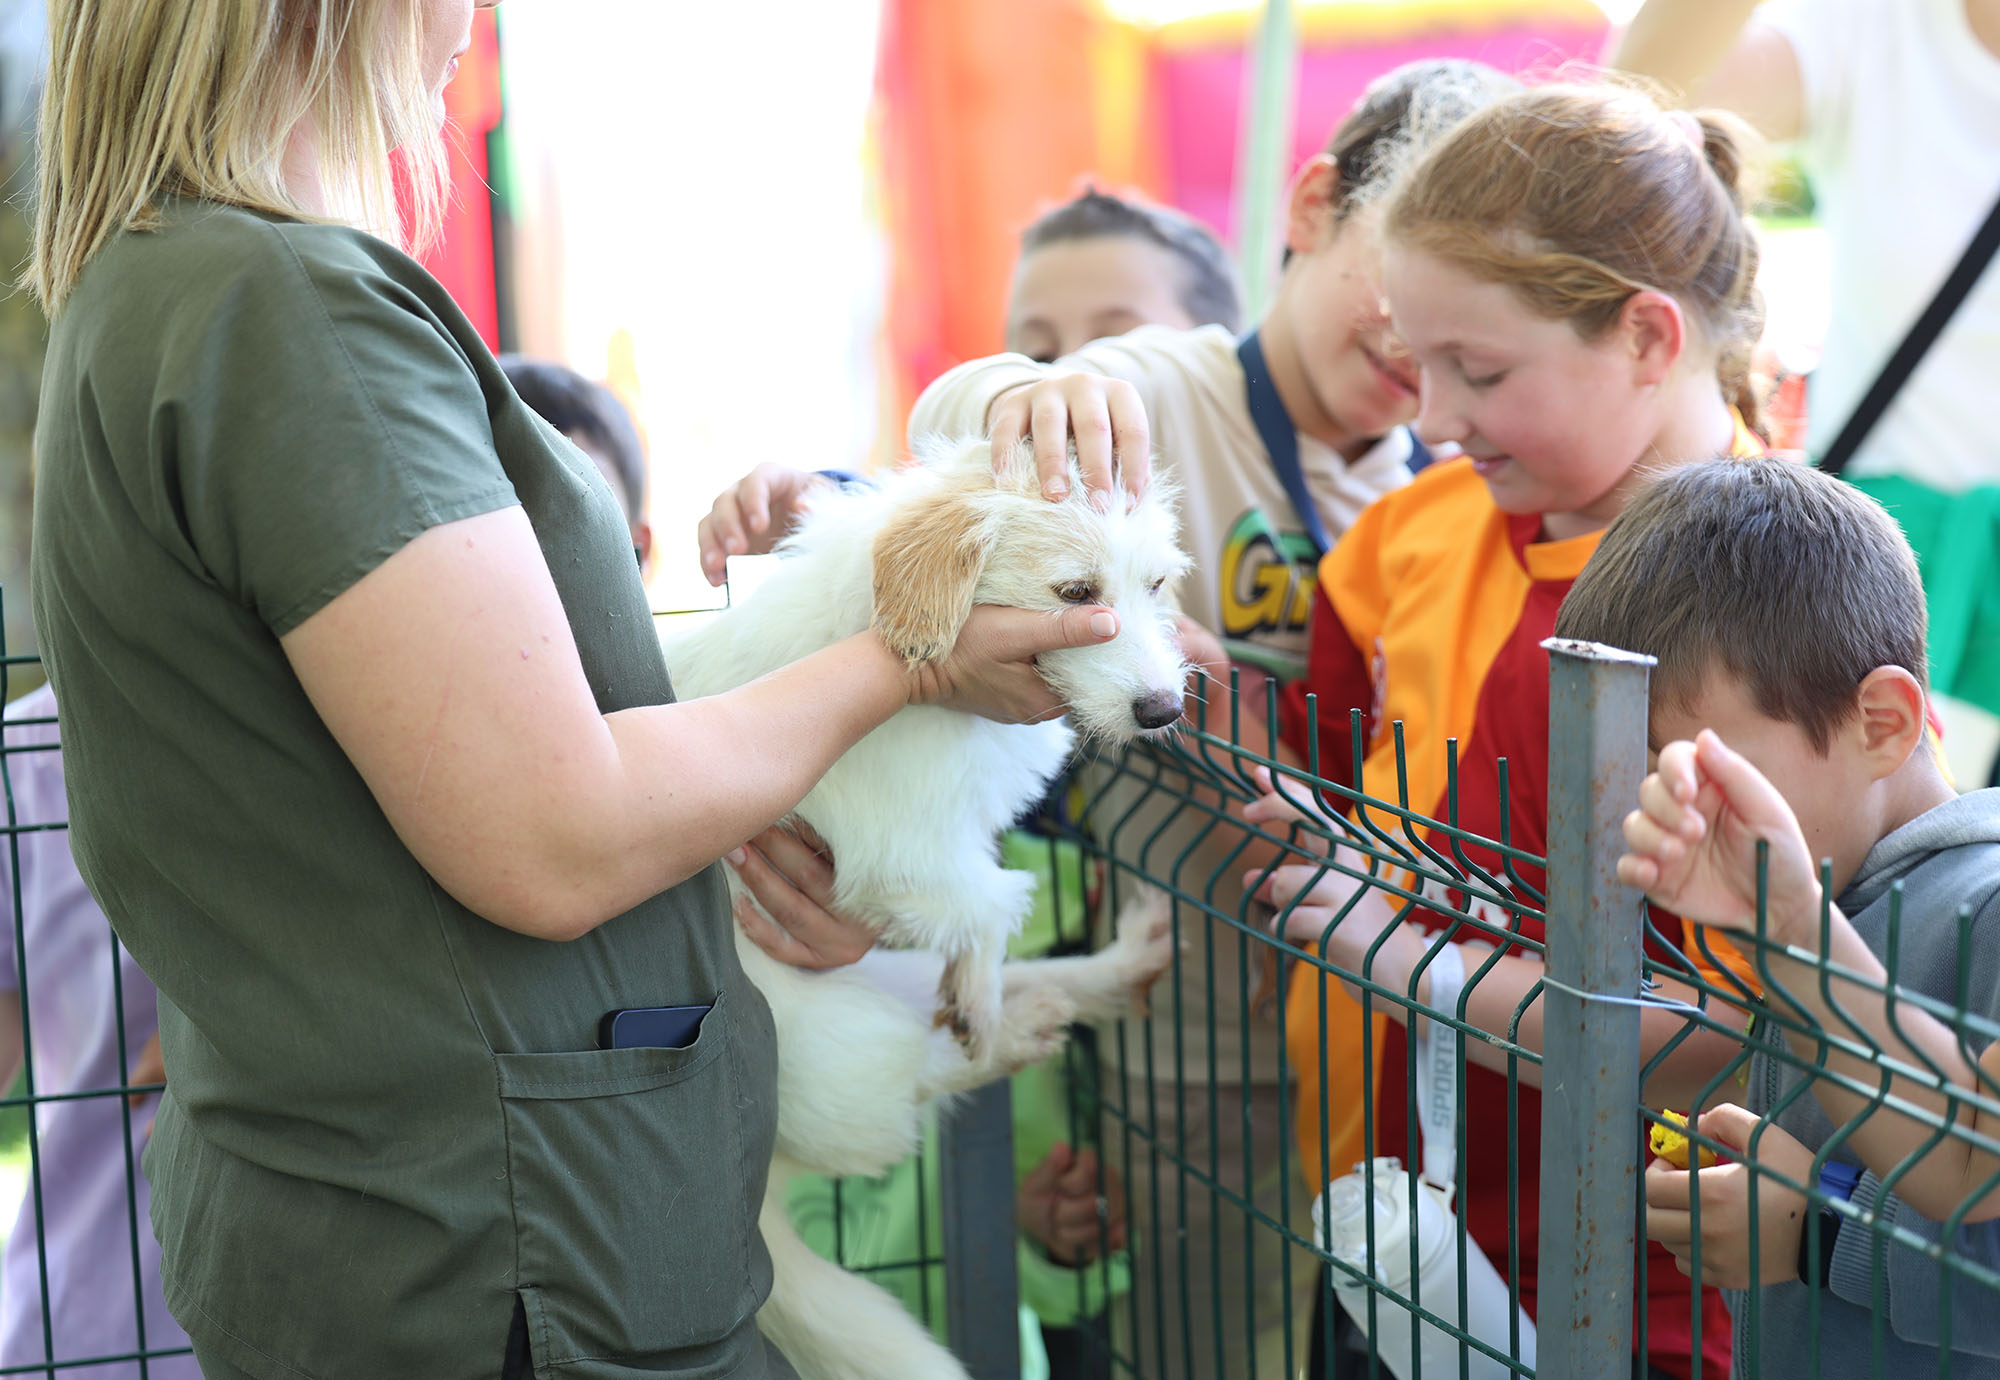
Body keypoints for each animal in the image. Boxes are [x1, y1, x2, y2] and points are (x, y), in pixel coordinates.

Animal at [664, 436, 1184, 1376]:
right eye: (1076, 595)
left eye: (1157, 584)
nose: (1163, 711)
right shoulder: (898, 859)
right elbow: (993, 906)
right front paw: (979, 997)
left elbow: (989, 917)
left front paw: (987, 989)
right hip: (828, 1050)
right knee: (915, 1084)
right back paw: (1009, 1031)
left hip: (886, 984)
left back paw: (1114, 970)